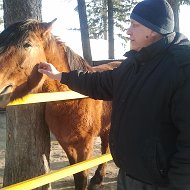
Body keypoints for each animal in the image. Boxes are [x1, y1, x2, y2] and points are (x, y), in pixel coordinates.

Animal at [0, 18, 121, 189]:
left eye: (27, 44)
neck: (71, 100)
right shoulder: (66, 143)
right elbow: (76, 174)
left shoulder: (84, 144)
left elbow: (82, 175)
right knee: (105, 147)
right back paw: (98, 179)